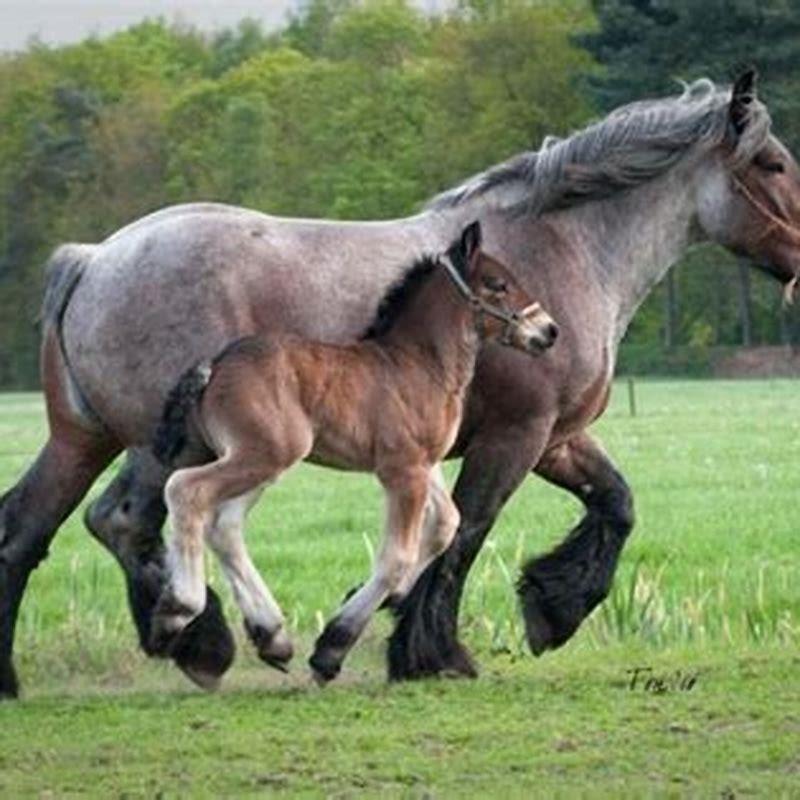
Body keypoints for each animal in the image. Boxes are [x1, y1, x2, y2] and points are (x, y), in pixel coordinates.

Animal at [147, 221, 558, 684]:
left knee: (224, 525)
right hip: (261, 455)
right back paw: (176, 612)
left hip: (259, 462)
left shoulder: (425, 464)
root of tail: (214, 365)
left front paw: (391, 598)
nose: (549, 330)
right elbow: (396, 556)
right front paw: (332, 648)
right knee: (185, 490)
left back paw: (272, 638)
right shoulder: (402, 470)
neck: (421, 364)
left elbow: (446, 524)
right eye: (498, 284)